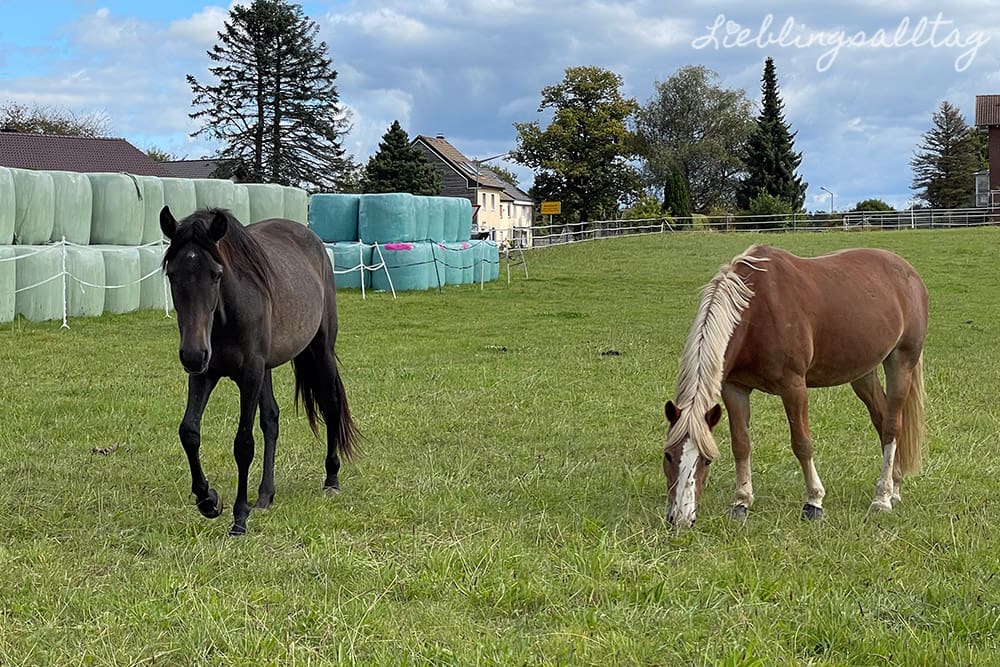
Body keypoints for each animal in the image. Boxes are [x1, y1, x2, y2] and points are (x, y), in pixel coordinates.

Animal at [158, 209, 358, 536]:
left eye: (216, 274)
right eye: (172, 274)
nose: (192, 354)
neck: (226, 316)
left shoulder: (249, 375)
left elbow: (243, 445)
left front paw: (239, 517)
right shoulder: (204, 374)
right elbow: (189, 432)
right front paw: (208, 500)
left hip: (320, 350)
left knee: (330, 406)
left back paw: (331, 480)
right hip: (266, 369)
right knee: (271, 420)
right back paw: (265, 495)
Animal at [664, 243, 928, 528]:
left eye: (707, 459)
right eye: (668, 455)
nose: (680, 518)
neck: (755, 309)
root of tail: (909, 273)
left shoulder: (793, 387)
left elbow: (802, 443)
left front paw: (814, 501)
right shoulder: (734, 389)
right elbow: (741, 444)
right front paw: (741, 501)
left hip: (901, 363)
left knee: (892, 426)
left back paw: (882, 498)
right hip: (864, 372)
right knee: (881, 420)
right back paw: (895, 487)